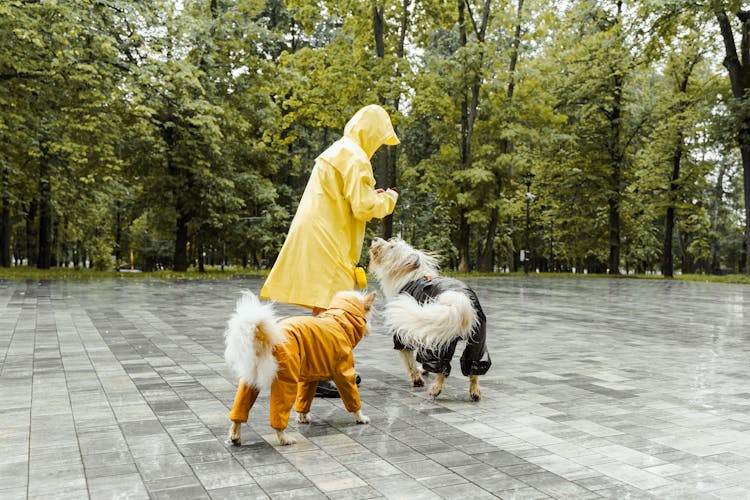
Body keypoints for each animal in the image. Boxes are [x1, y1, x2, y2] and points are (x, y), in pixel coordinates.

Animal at [223, 290, 376, 446]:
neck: (339, 321)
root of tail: (264, 337)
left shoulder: (310, 377)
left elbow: (304, 400)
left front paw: (302, 418)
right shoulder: (344, 373)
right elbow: (352, 398)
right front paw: (360, 417)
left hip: (249, 381)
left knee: (239, 409)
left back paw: (235, 435)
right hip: (286, 381)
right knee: (279, 414)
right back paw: (284, 437)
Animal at [370, 236, 494, 400]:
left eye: (391, 246)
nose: (375, 238)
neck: (410, 276)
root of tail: (460, 298)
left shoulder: (403, 334)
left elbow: (409, 361)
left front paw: (417, 380)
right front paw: (424, 370)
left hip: (442, 339)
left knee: (442, 366)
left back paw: (436, 388)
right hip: (477, 338)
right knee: (473, 365)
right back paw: (475, 392)